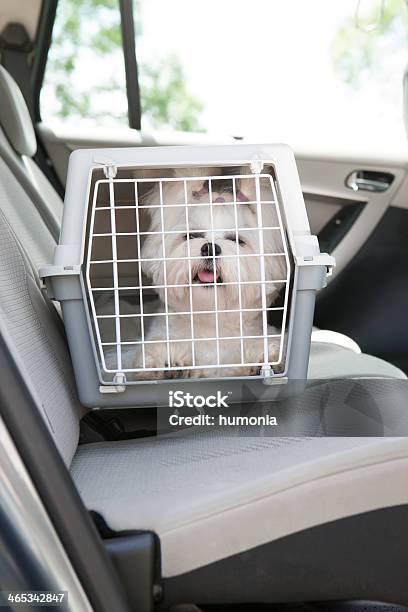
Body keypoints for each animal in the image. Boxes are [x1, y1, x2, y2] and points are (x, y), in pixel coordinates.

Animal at [121, 167, 286, 378]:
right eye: (192, 236)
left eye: (236, 240)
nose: (210, 248)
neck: (210, 320)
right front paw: (169, 360)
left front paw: (261, 359)